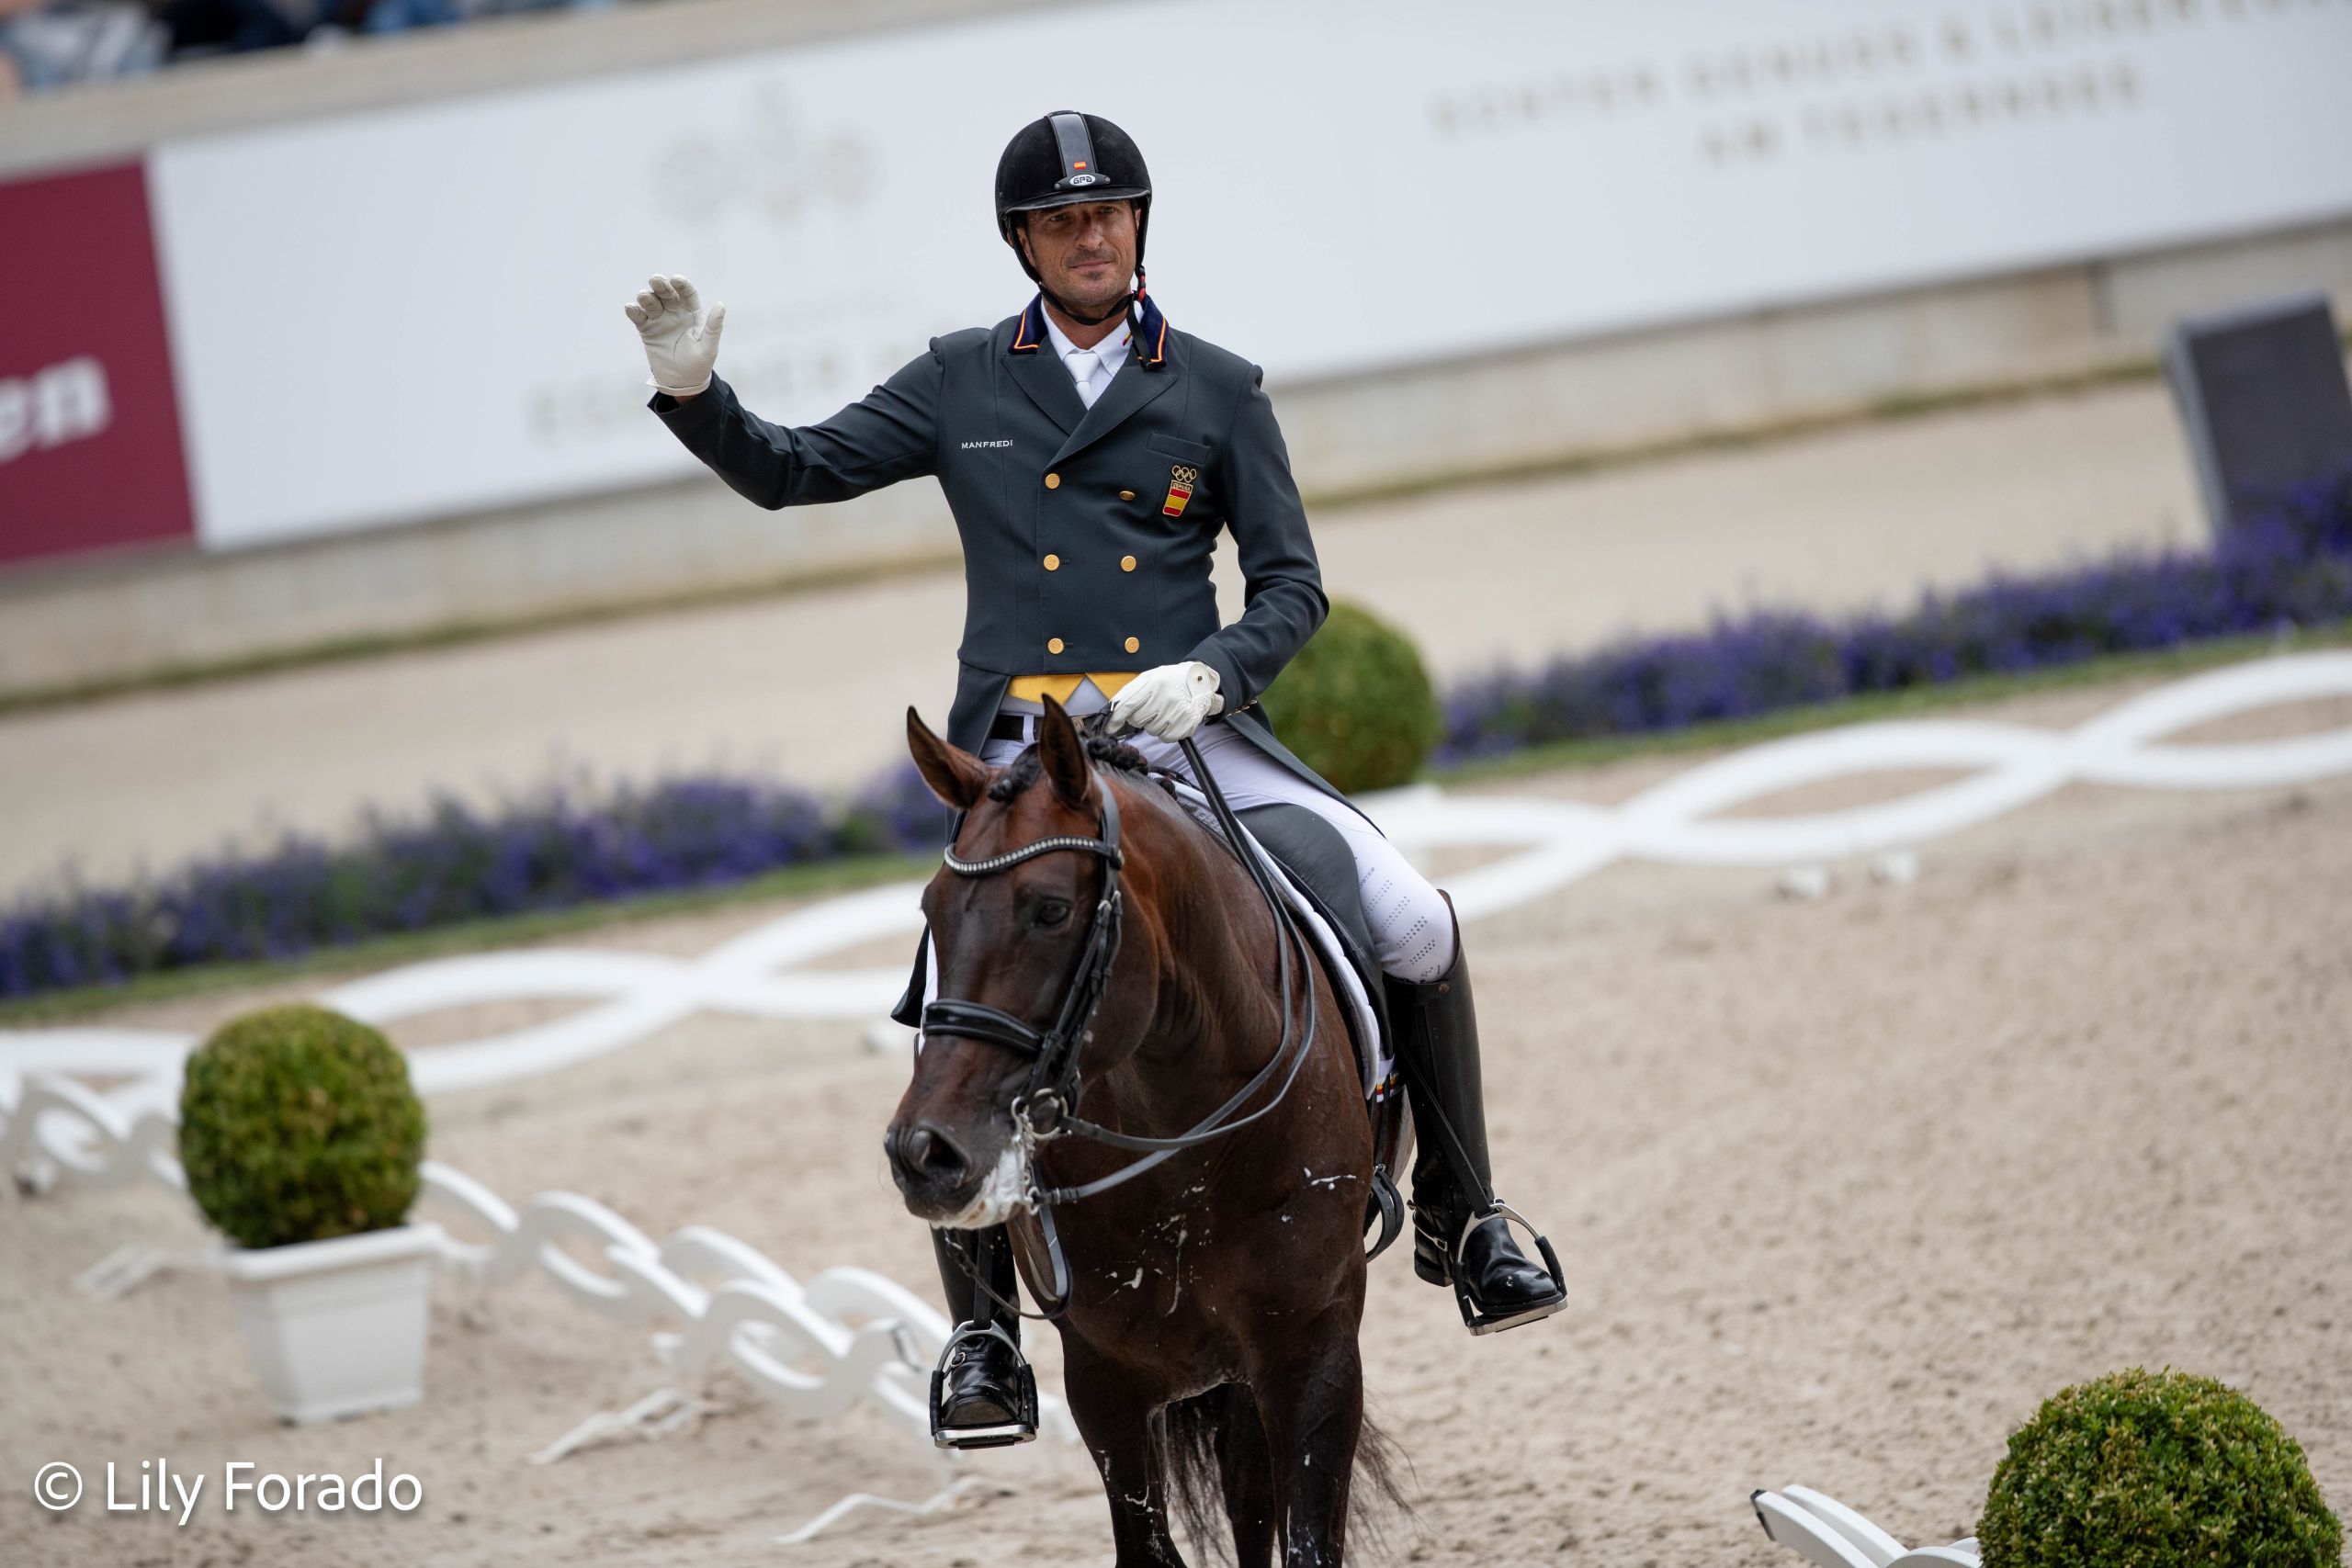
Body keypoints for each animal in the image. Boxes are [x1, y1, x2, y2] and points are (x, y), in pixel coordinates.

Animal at [884, 700, 1392, 1568]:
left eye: (1051, 908)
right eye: (931, 910)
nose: (925, 1154)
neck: (1184, 1136)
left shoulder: (1311, 1347)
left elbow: (1305, 1540)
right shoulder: (1104, 1379)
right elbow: (1149, 1547)